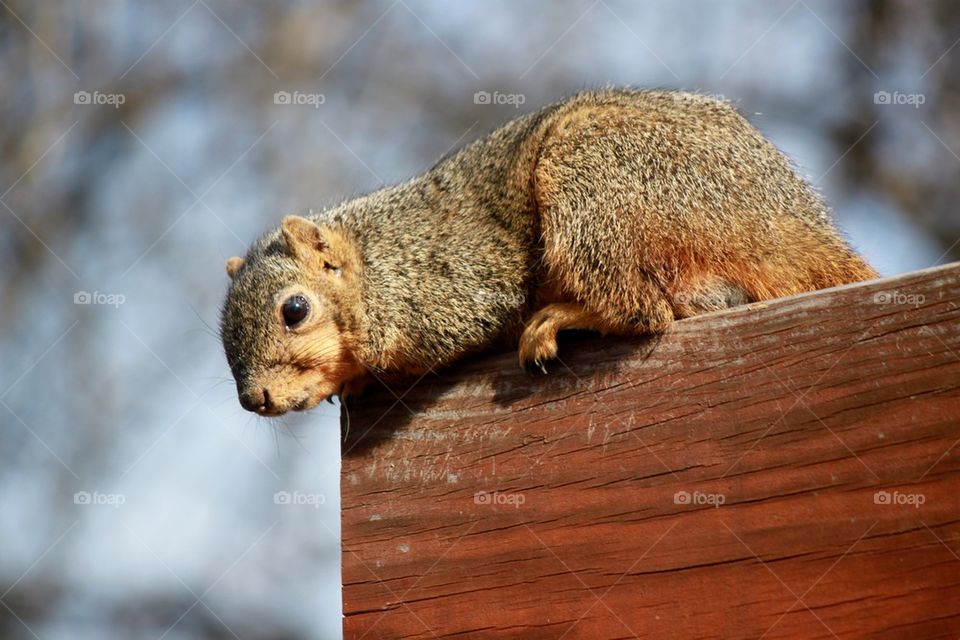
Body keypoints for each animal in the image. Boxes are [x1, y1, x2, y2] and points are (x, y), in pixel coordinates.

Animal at [220, 88, 877, 417]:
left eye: (295, 310)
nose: (255, 401)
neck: (378, 261)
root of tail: (798, 227)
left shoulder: (452, 286)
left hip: (592, 183)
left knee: (645, 309)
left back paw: (560, 319)